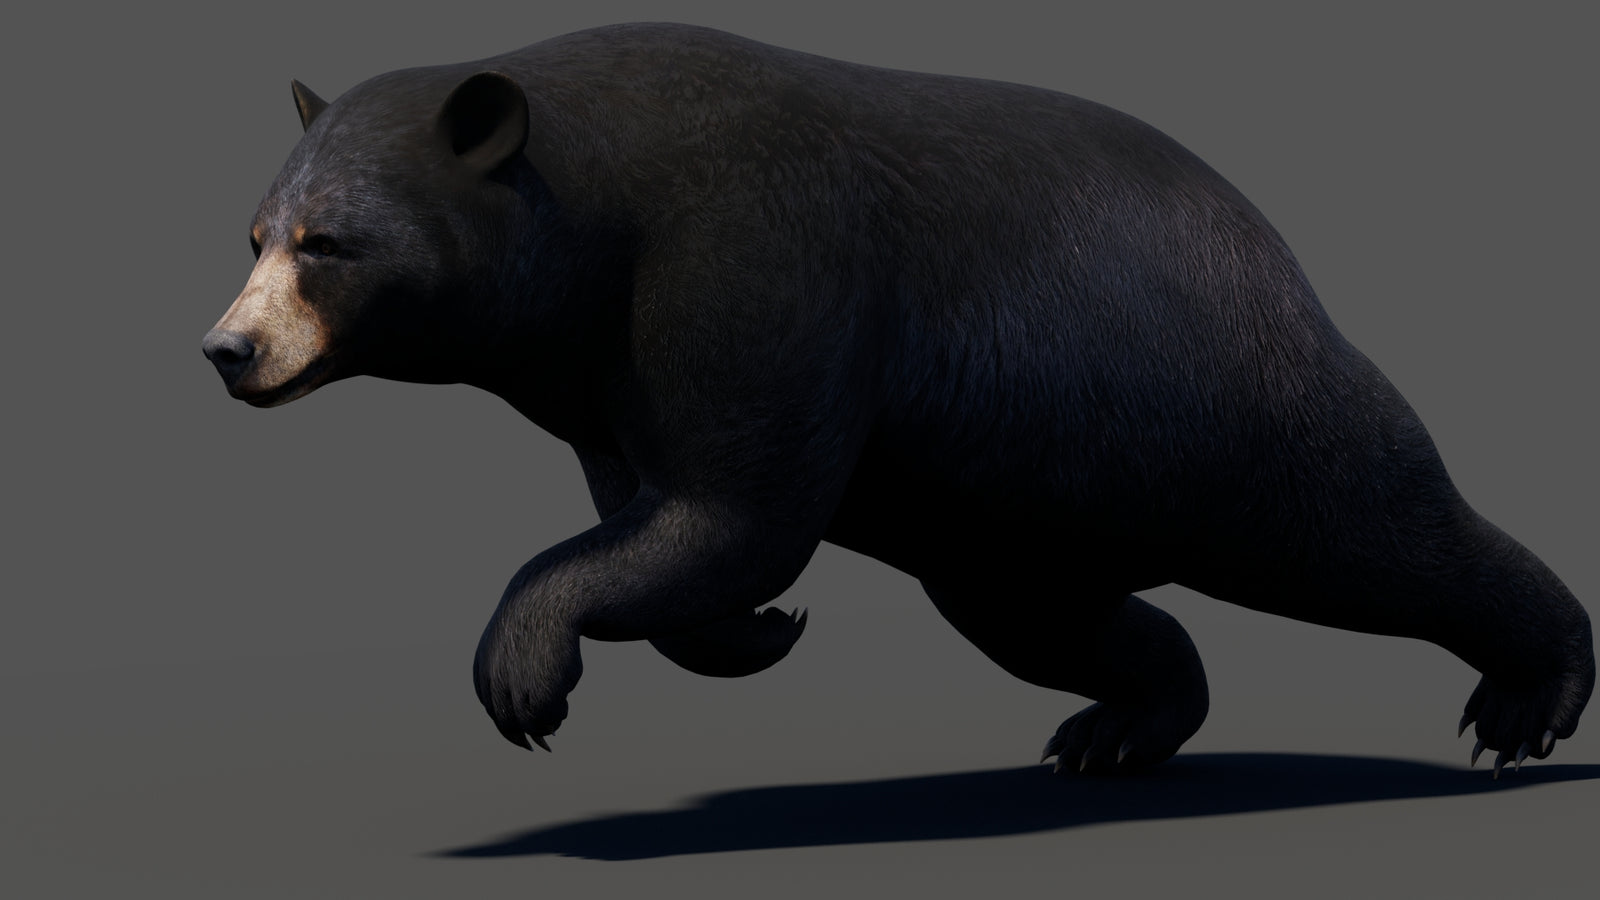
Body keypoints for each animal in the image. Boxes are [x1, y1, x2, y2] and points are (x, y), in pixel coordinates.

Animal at [203, 22, 1592, 777]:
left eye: (328, 244)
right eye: (256, 234)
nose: (227, 350)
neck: (595, 219)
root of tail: (1275, 249)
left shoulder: (757, 259)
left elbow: (740, 505)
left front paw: (525, 669)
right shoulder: (602, 368)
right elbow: (661, 509)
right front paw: (747, 630)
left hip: (1217, 403)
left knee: (1375, 524)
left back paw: (1527, 696)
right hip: (1014, 512)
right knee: (1047, 617)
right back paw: (1119, 725)